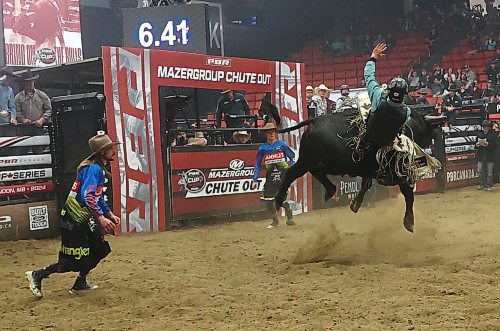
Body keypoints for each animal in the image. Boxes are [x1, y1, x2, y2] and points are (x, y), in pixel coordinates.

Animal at [272, 109, 444, 233]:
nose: (436, 133)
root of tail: (314, 121)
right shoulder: (401, 173)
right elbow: (408, 195)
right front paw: (409, 222)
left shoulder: (368, 170)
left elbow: (366, 184)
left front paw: (355, 203)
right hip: (325, 162)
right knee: (302, 172)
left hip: (311, 159)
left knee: (303, 172)